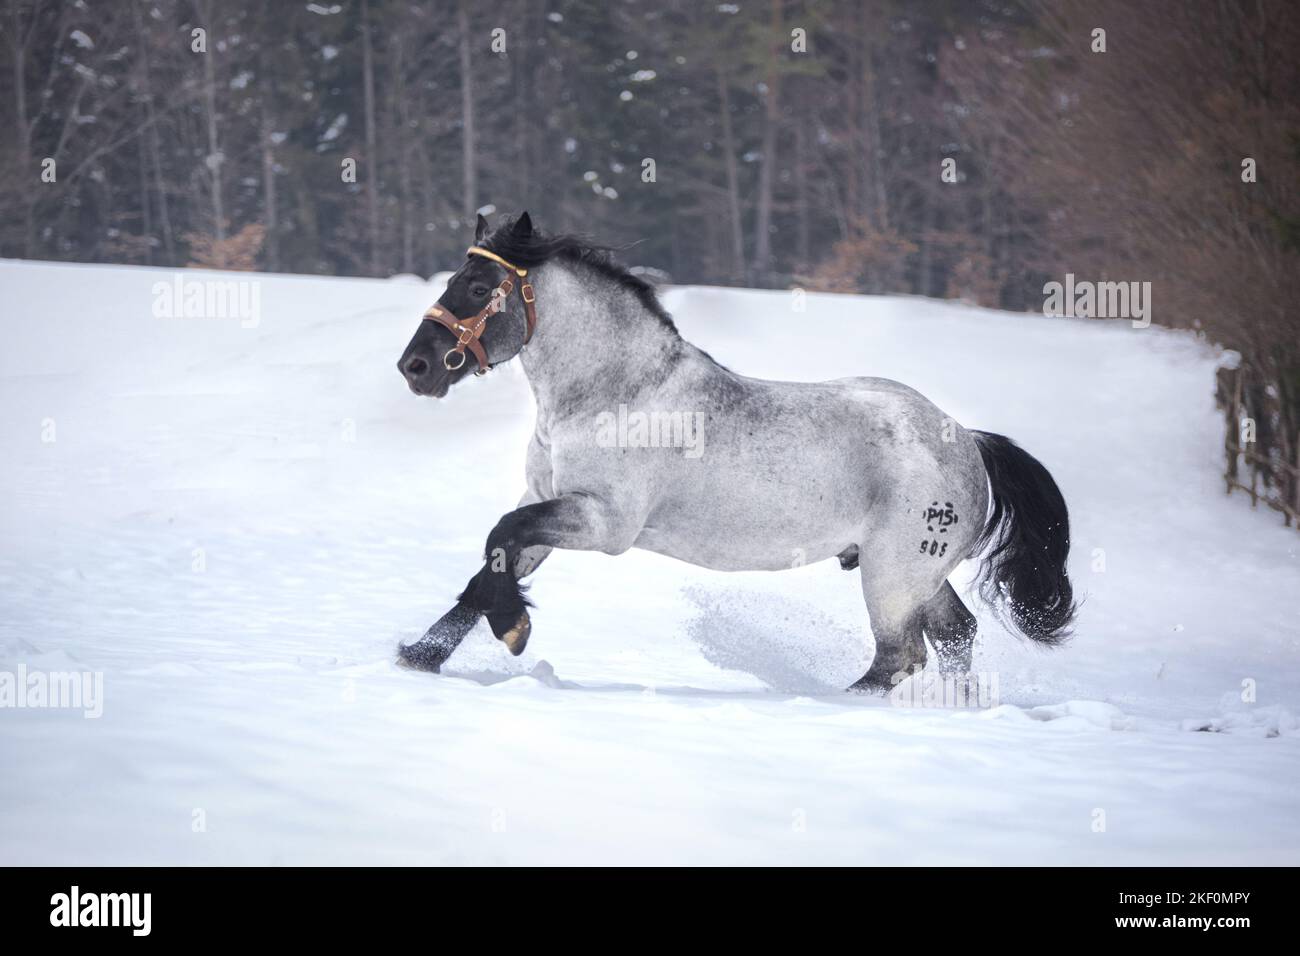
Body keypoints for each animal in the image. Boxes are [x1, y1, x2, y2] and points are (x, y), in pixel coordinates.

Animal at [395, 212, 1076, 691]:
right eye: (454, 280)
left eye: (478, 287)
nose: (415, 367)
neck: (612, 393)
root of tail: (967, 441)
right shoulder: (546, 499)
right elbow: (489, 565)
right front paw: (420, 657)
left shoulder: (603, 522)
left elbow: (499, 536)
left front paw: (513, 631)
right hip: (919, 576)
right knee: (957, 636)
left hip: (894, 574)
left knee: (900, 657)